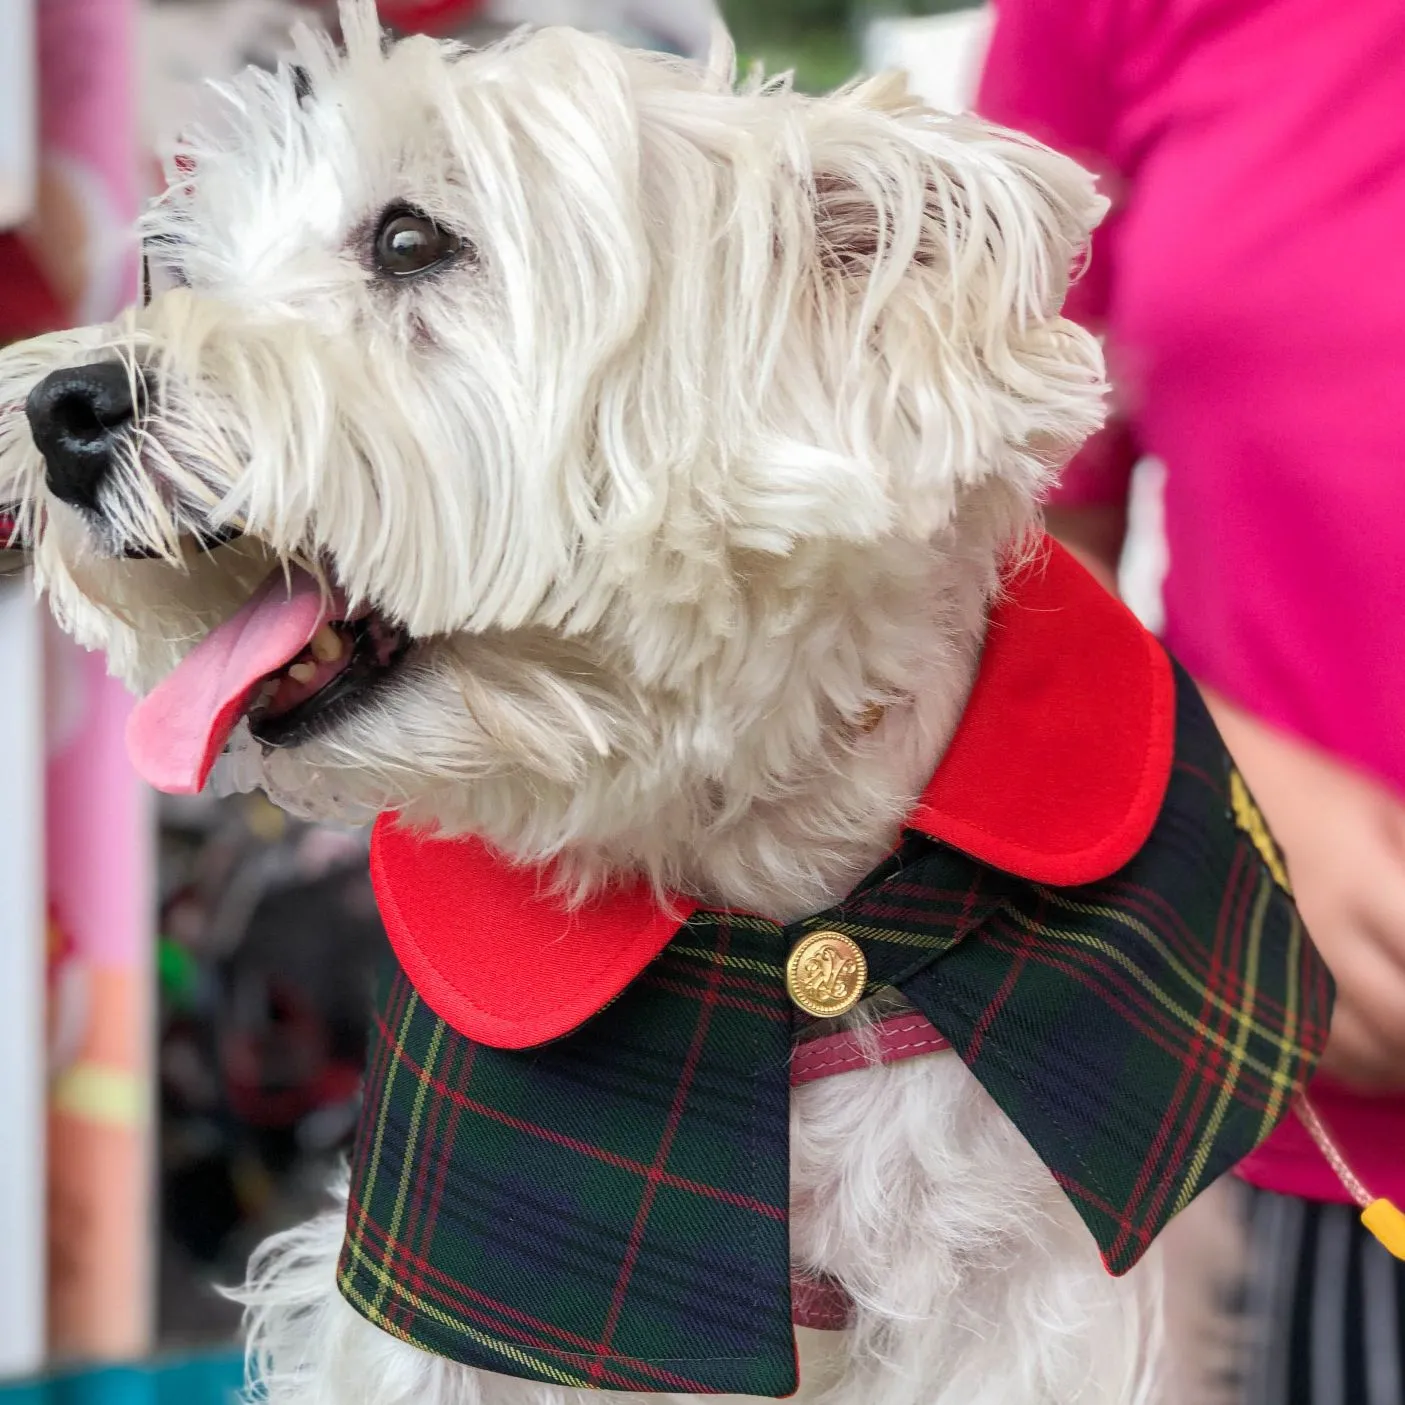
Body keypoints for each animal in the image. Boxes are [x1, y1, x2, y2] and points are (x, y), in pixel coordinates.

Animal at [0, 5, 1236, 1399]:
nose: (59, 410)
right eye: (182, 268)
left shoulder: (1031, 1284)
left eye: (411, 240)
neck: (777, 905)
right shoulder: (464, 1290)